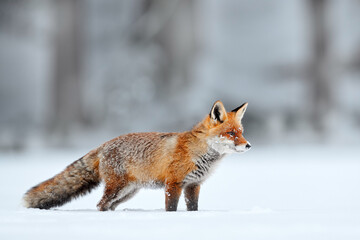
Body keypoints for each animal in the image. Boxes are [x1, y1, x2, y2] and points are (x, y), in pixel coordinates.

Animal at [23, 100, 250, 211]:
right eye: (231, 133)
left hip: (128, 192)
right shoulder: (173, 184)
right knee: (101, 204)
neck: (200, 154)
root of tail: (103, 145)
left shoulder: (193, 185)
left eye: (241, 131)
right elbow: (171, 209)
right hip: (118, 188)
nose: (248, 145)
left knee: (108, 206)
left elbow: (192, 209)